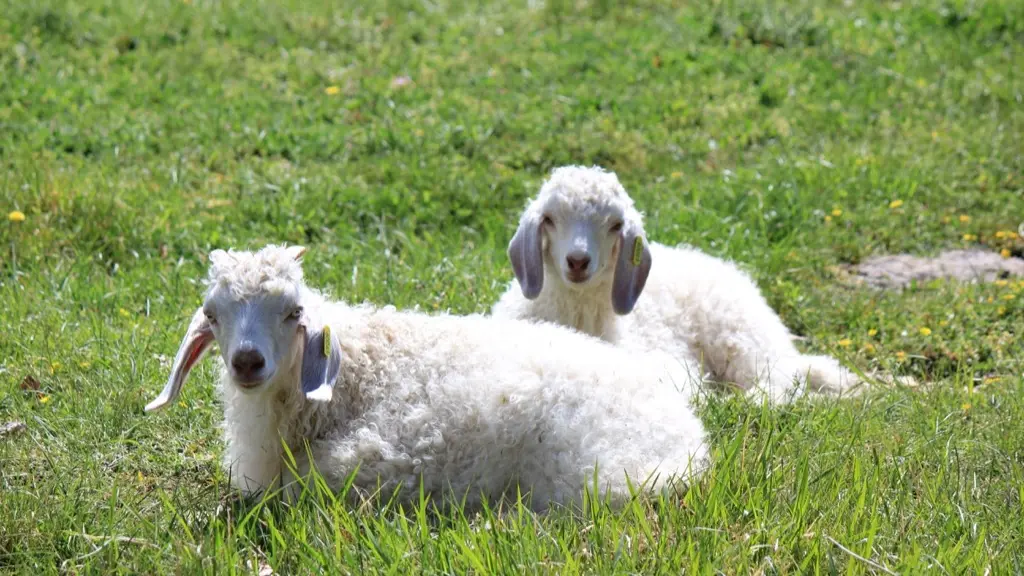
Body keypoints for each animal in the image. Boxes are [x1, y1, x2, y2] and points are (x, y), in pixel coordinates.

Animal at [148, 243, 708, 508]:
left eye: (294, 312)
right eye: (212, 314)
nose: (247, 362)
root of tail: (692, 441)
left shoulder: (382, 458)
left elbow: (303, 485)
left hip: (589, 470)